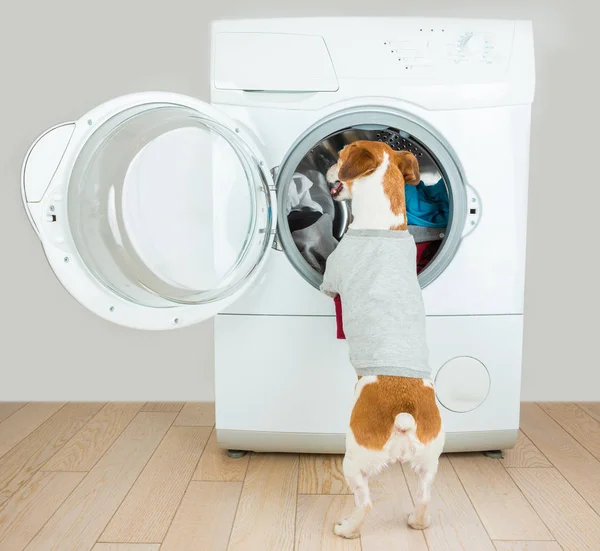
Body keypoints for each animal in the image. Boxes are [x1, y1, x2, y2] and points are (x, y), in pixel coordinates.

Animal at [318, 141, 446, 540]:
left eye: (339, 156)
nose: (326, 168)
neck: (381, 225)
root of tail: (403, 417)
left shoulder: (331, 276)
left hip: (354, 459)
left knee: (366, 503)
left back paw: (346, 529)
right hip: (429, 464)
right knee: (425, 498)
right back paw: (417, 522)